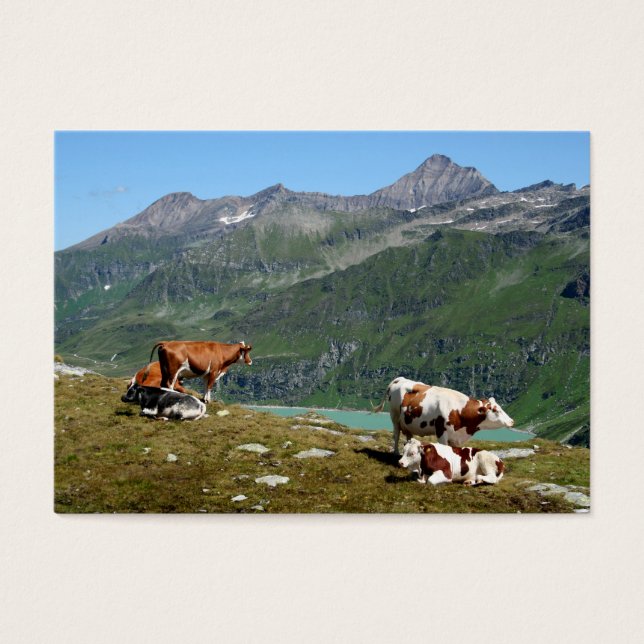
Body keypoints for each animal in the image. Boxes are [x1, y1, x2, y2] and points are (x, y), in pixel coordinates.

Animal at [374, 377, 514, 453]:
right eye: (496, 410)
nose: (512, 421)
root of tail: (401, 379)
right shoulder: (441, 431)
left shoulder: (456, 437)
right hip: (394, 416)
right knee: (396, 435)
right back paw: (396, 453)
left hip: (408, 421)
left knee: (408, 435)